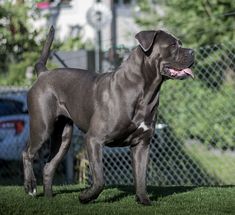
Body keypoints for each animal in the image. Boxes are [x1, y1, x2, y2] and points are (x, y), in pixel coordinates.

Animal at [22, 26, 195, 205]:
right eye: (173, 45)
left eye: (180, 43)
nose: (193, 52)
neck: (145, 90)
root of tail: (43, 73)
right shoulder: (94, 139)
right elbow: (99, 180)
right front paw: (85, 196)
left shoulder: (142, 144)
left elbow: (141, 177)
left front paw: (144, 200)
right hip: (42, 127)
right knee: (27, 153)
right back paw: (30, 186)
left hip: (63, 138)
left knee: (48, 166)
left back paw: (49, 199)